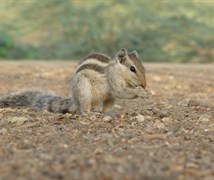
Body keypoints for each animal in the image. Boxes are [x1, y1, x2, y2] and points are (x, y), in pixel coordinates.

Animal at [0, 48, 147, 114]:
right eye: (132, 68)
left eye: (143, 67)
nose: (144, 85)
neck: (117, 70)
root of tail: (74, 101)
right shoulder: (113, 81)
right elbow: (121, 91)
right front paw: (141, 93)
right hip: (84, 90)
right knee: (83, 109)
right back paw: (90, 112)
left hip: (108, 98)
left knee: (104, 107)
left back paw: (107, 112)